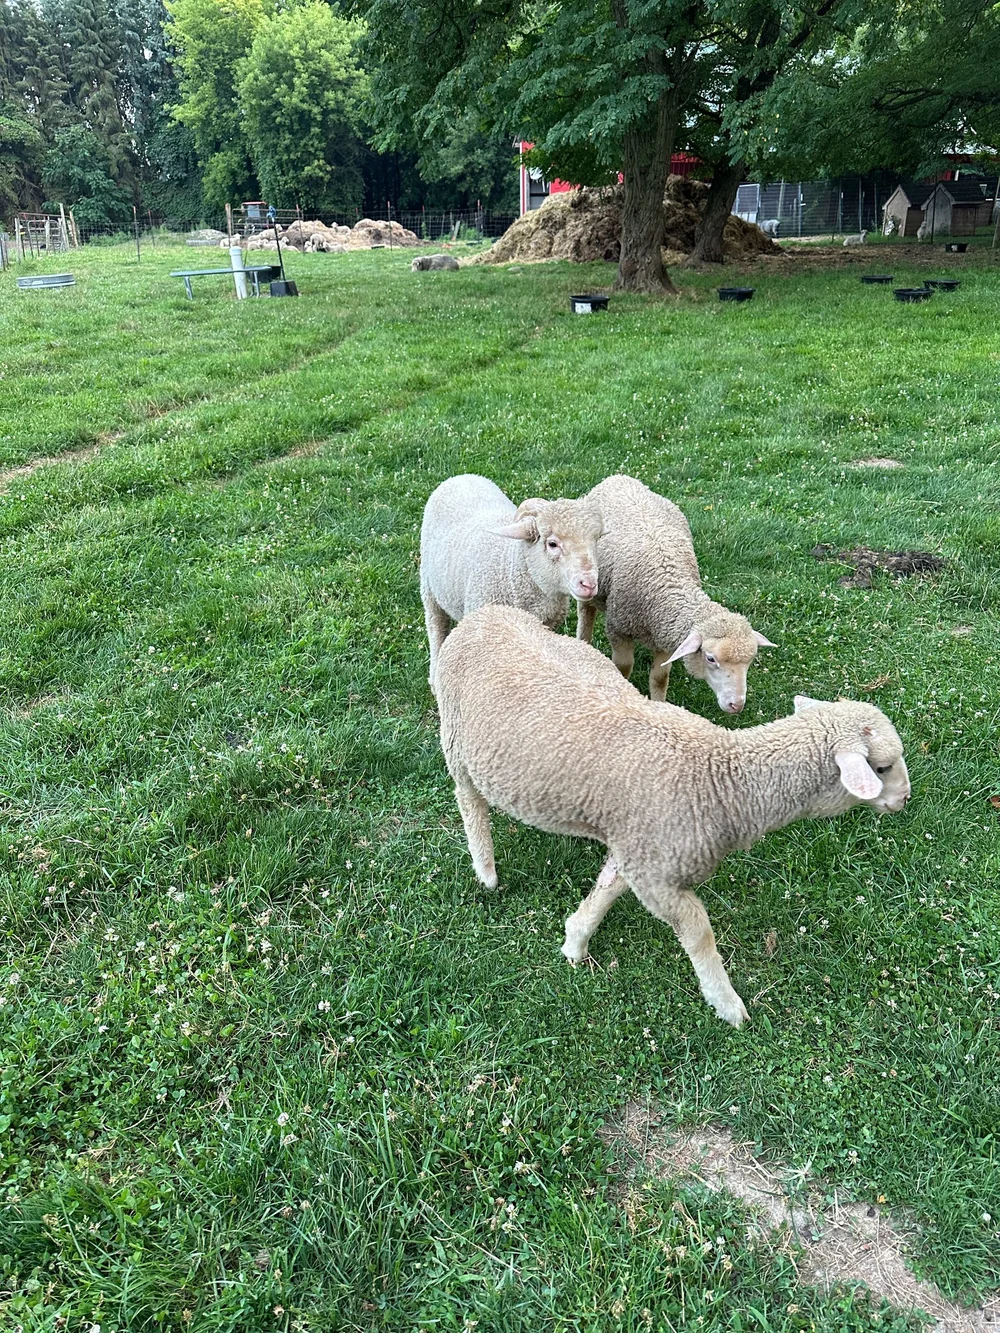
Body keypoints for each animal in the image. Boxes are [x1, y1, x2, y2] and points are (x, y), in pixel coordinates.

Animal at [421, 475, 602, 688]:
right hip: (429, 588)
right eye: (552, 544)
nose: (589, 584)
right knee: (436, 627)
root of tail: (461, 476)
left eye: (596, 540)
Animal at [436, 604, 911, 1027]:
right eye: (882, 767)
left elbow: (607, 888)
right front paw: (727, 1004)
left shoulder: (641, 848)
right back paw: (486, 869)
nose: (904, 801)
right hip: (456, 740)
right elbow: (699, 934)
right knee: (469, 800)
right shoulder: (660, 877)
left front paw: (575, 939)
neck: (721, 778)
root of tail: (483, 614)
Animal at [577, 475, 774, 714]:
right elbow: (623, 669)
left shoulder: (666, 635)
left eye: (751, 660)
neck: (669, 583)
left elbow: (660, 677)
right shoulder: (618, 629)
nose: (736, 705)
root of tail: (617, 477)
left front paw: (660, 705)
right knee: (586, 612)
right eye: (710, 658)